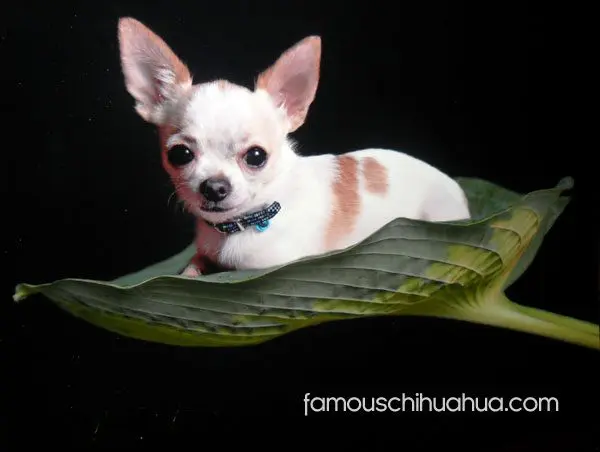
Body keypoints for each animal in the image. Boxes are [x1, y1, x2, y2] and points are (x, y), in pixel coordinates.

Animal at [117, 17, 471, 277]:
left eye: (256, 156)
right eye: (180, 154)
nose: (214, 187)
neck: (241, 227)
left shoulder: (275, 267)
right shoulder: (204, 255)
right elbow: (190, 270)